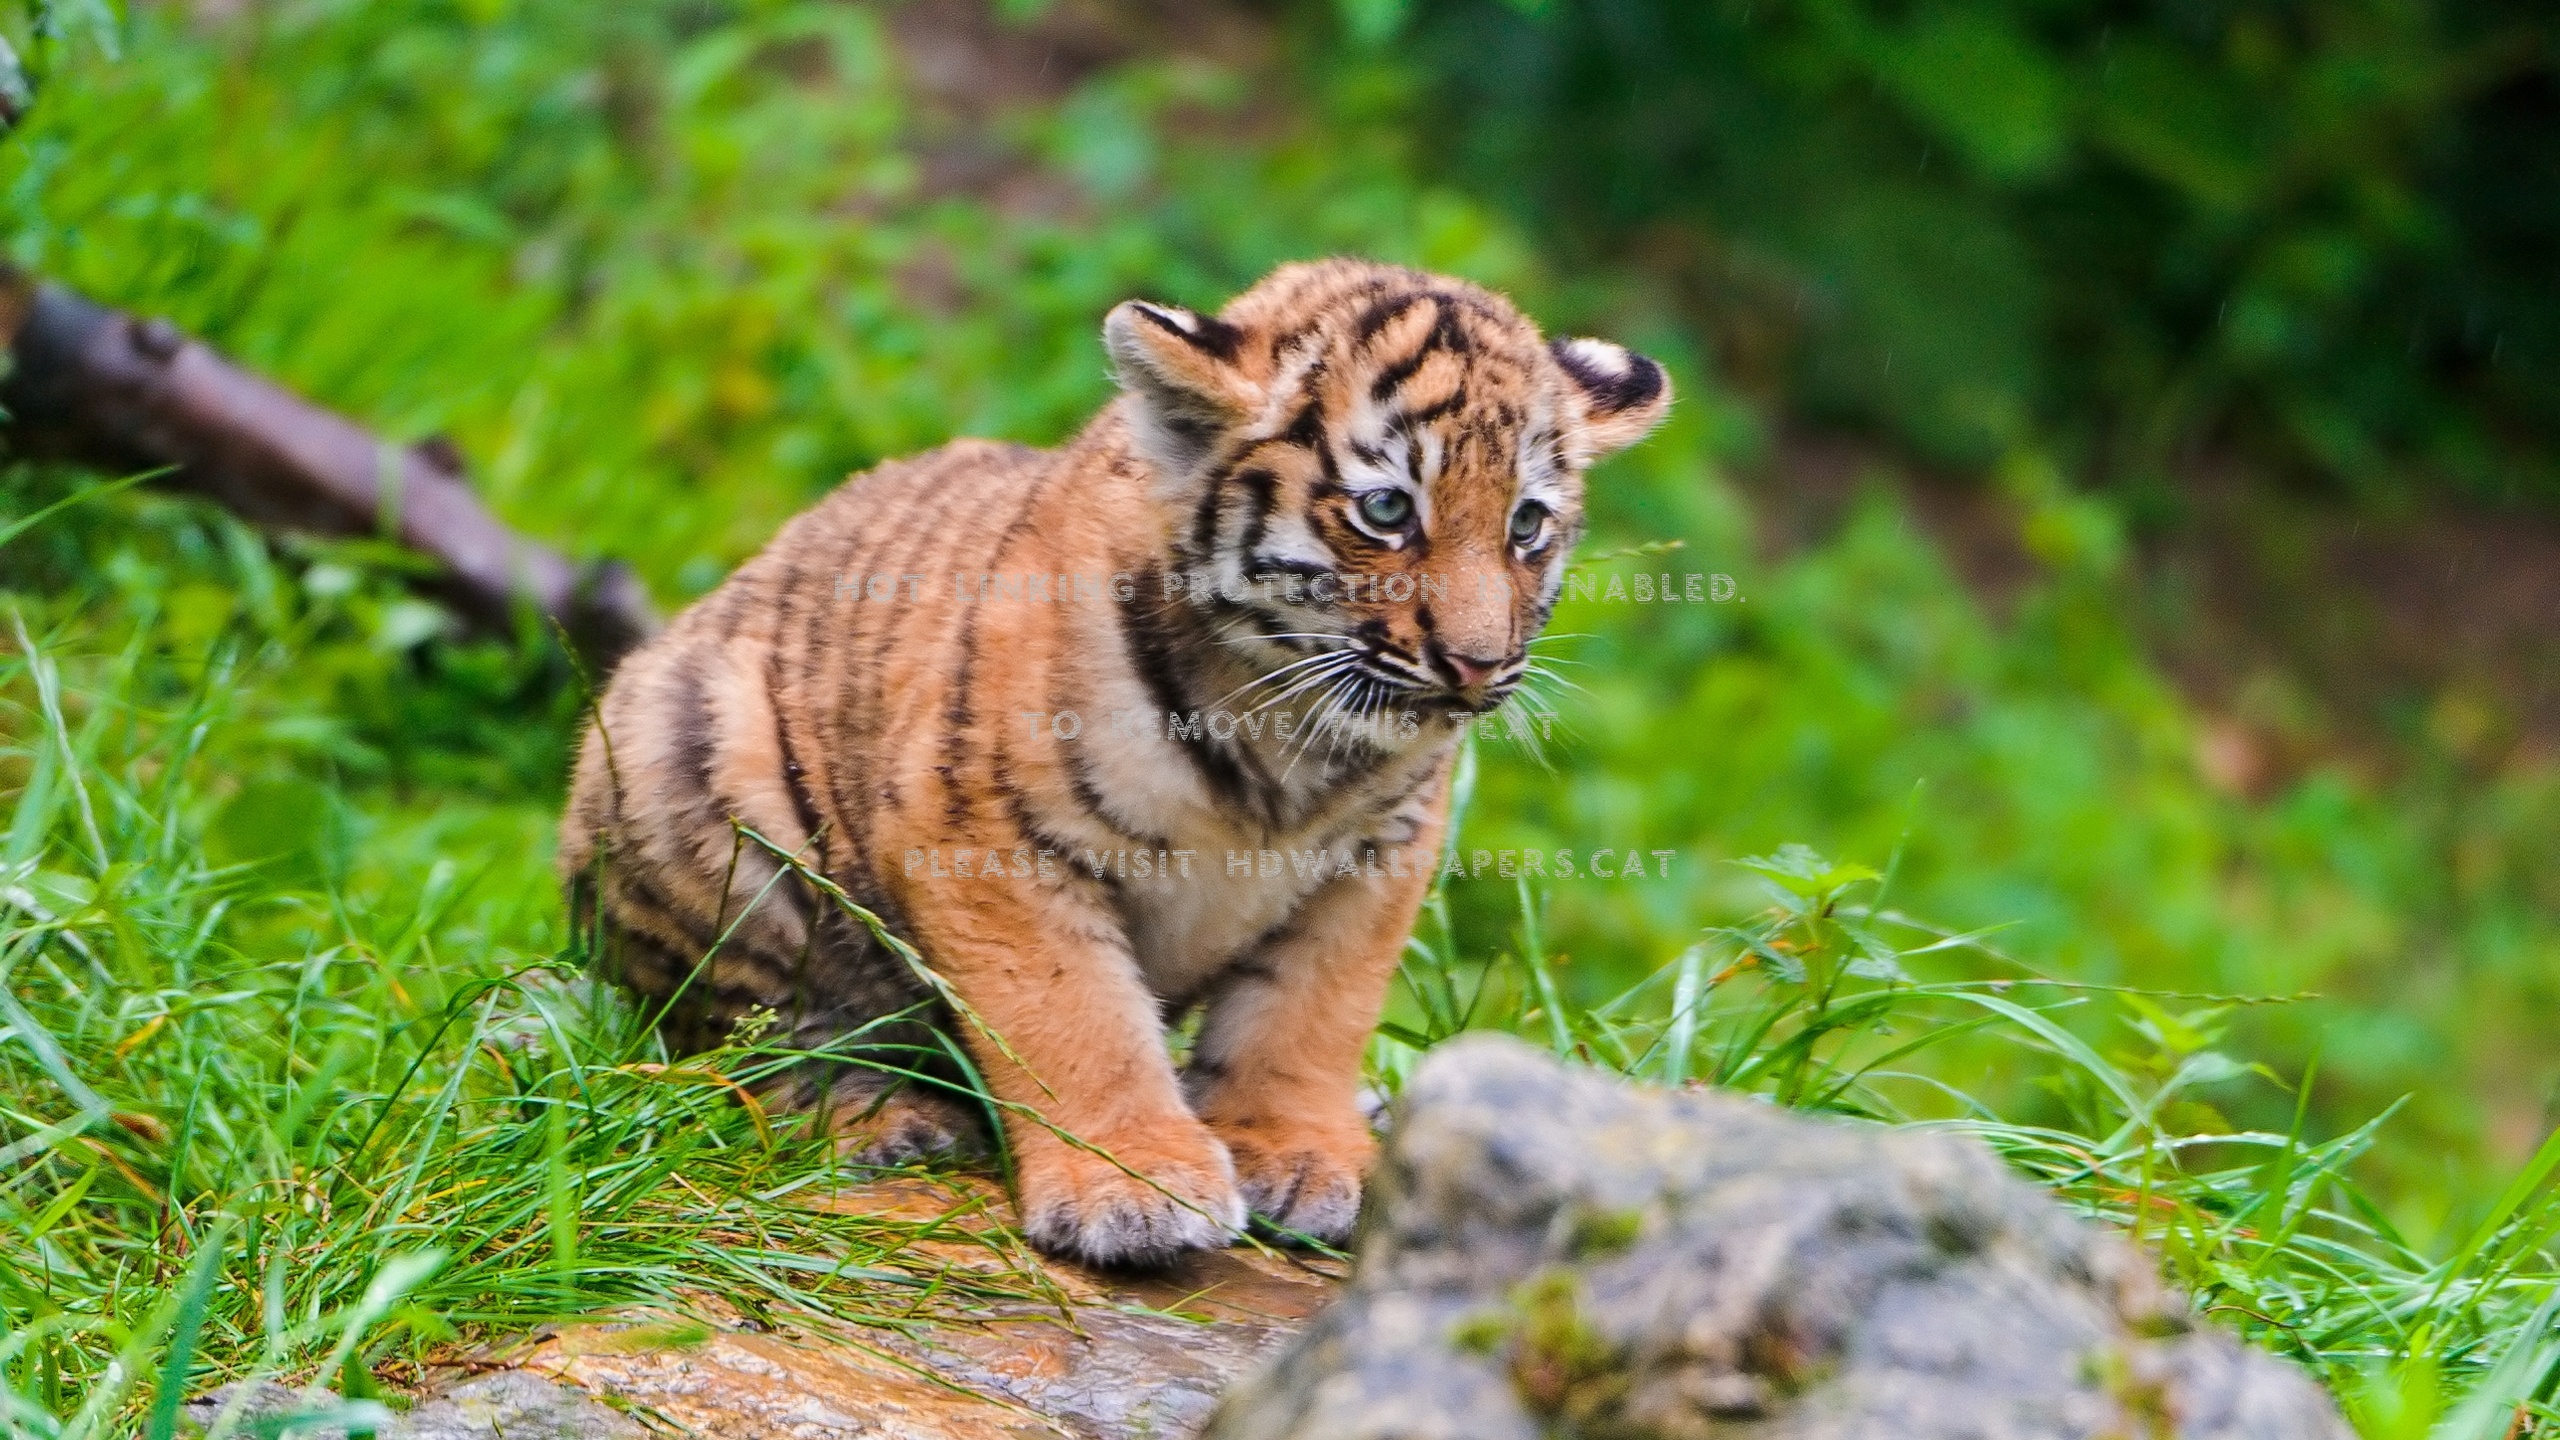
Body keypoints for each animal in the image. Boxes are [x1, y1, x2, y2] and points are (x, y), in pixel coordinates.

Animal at [557, 257, 1670, 1267]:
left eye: (1526, 523)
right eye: (1387, 510)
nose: (1477, 664)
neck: (1293, 727)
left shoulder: (1377, 856)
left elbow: (1309, 1012)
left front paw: (1301, 1153)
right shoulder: (983, 833)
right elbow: (1075, 1019)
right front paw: (1133, 1189)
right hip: (692, 769)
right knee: (729, 1037)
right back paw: (883, 1119)